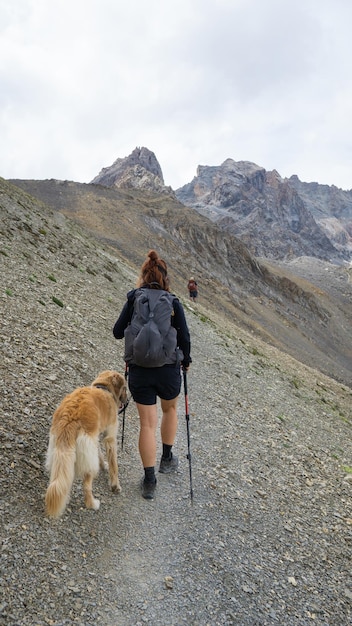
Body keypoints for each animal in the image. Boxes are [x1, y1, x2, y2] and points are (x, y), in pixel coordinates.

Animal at [44, 370, 128, 516]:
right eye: (125, 388)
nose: (127, 400)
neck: (105, 389)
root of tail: (70, 417)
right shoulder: (110, 438)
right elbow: (114, 465)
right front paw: (115, 485)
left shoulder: (95, 439)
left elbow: (100, 454)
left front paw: (103, 465)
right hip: (86, 456)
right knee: (86, 485)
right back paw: (92, 504)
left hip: (58, 451)